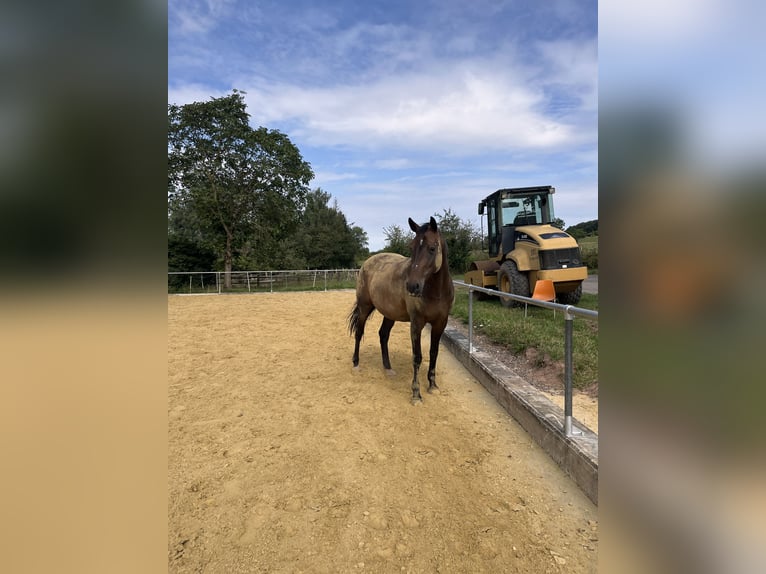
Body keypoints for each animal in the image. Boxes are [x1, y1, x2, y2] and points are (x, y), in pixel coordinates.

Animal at [348, 216, 455, 404]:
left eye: (432, 248)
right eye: (411, 247)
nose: (412, 286)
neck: (436, 291)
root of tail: (367, 262)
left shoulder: (441, 323)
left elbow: (433, 352)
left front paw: (433, 386)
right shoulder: (416, 323)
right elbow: (417, 357)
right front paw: (416, 394)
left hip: (389, 313)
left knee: (383, 335)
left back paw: (388, 368)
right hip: (364, 307)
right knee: (359, 332)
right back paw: (356, 364)